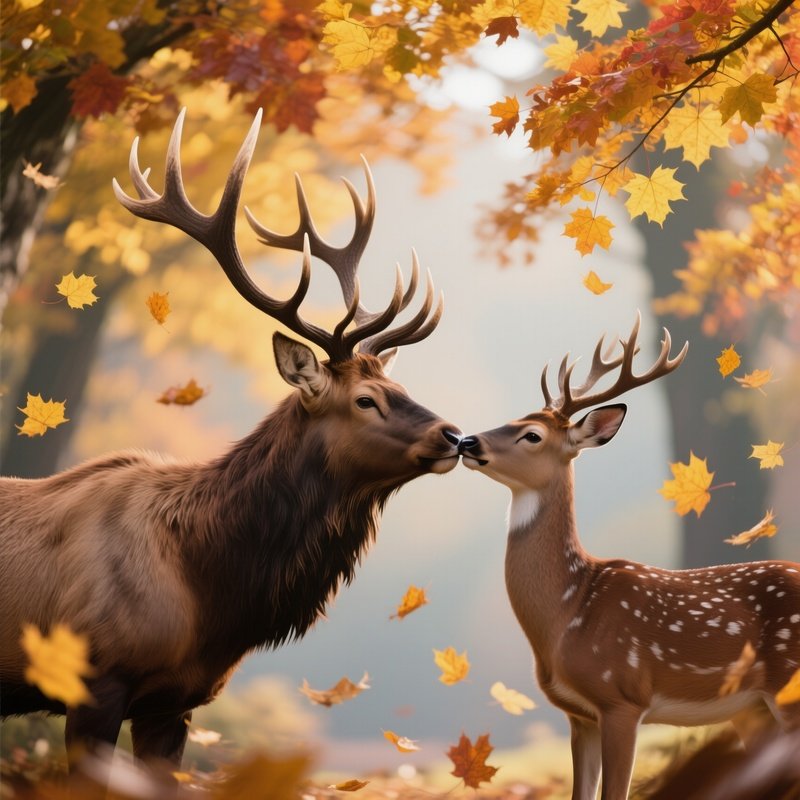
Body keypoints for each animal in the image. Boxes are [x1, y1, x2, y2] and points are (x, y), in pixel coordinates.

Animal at [0, 110, 462, 773]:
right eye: (365, 400)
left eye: (400, 384)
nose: (454, 435)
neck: (209, 597)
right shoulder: (93, 678)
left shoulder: (176, 702)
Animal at [459, 313, 800, 800]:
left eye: (532, 435)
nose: (466, 442)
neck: (567, 611)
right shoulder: (578, 715)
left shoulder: (622, 697)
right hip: (750, 707)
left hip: (787, 686)